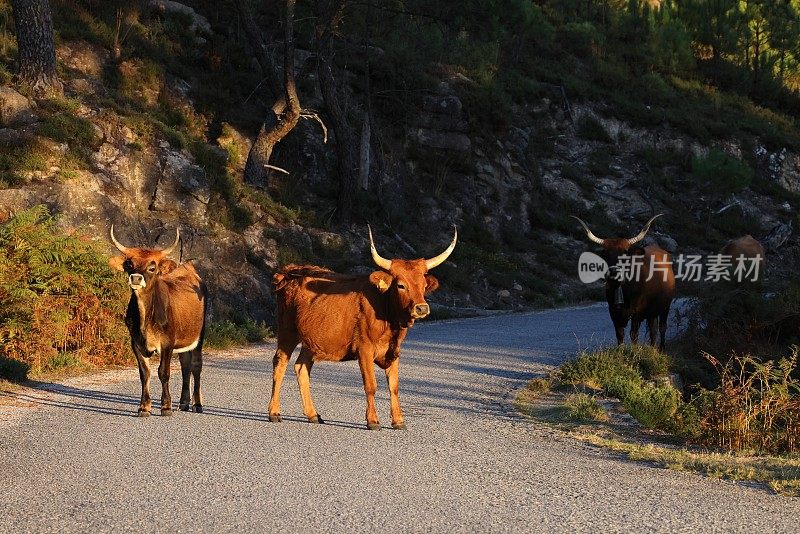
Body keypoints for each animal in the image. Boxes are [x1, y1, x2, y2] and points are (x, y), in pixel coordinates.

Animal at [108, 226, 208, 418]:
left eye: (152, 267)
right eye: (129, 264)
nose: (136, 278)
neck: (146, 319)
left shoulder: (167, 342)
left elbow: (163, 372)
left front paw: (166, 407)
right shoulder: (135, 342)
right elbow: (144, 374)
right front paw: (144, 407)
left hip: (199, 335)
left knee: (196, 365)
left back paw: (197, 404)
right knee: (185, 365)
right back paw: (184, 402)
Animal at [268, 226, 456, 432]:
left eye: (423, 285)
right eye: (401, 285)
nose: (421, 308)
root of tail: (291, 272)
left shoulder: (394, 351)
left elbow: (394, 386)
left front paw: (398, 421)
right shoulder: (364, 348)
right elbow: (370, 385)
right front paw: (373, 421)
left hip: (312, 340)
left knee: (301, 367)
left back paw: (313, 415)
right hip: (287, 331)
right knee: (280, 363)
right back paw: (274, 413)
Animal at [568, 216, 676, 350]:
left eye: (625, 253)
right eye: (605, 254)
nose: (614, 272)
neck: (622, 288)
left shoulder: (637, 312)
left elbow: (633, 334)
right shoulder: (613, 311)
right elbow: (619, 334)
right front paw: (621, 351)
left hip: (666, 306)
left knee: (662, 327)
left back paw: (661, 349)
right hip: (653, 311)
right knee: (653, 330)